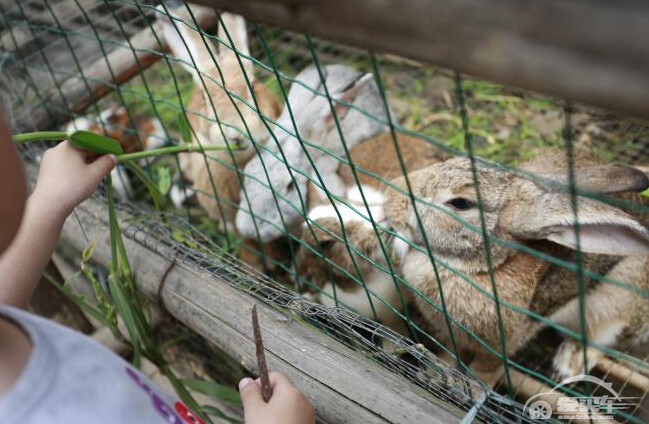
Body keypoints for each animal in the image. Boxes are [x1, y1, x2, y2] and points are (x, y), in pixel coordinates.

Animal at [384, 157, 648, 388]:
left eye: (460, 203)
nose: (391, 192)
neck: (486, 268)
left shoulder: (502, 346)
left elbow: (484, 371)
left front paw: (475, 390)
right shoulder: (454, 336)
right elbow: (450, 353)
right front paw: (435, 376)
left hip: (615, 301)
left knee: (605, 338)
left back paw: (567, 364)